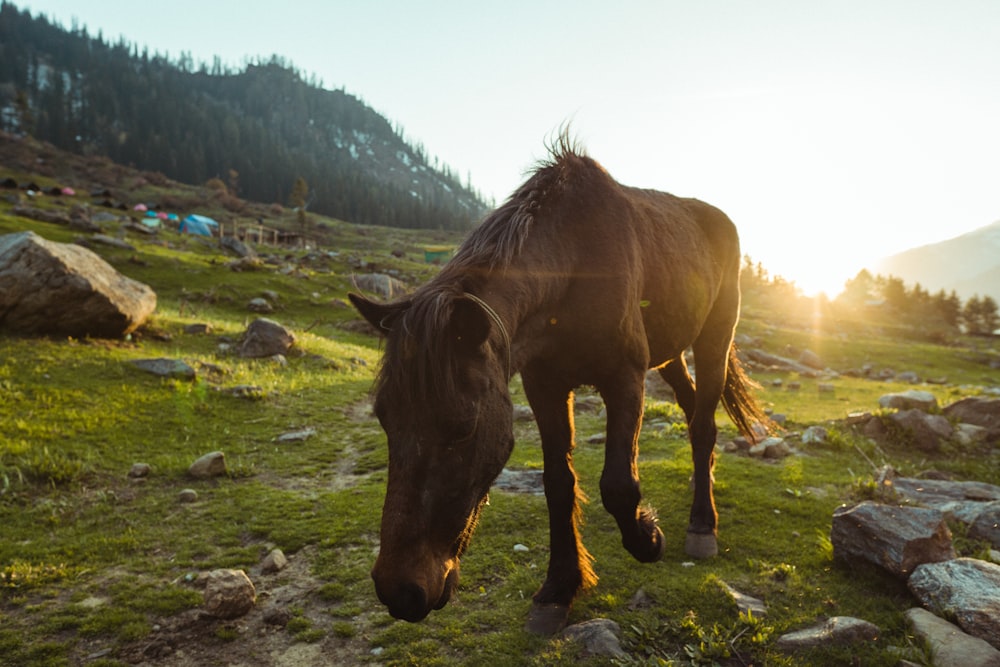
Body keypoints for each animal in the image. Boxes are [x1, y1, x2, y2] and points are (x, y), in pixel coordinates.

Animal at [352, 134, 764, 632]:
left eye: (462, 428)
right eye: (384, 418)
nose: (400, 591)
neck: (574, 265)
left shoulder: (624, 377)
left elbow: (618, 485)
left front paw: (648, 536)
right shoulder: (544, 386)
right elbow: (557, 483)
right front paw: (559, 588)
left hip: (713, 340)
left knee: (703, 424)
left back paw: (702, 525)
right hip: (669, 354)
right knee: (692, 412)